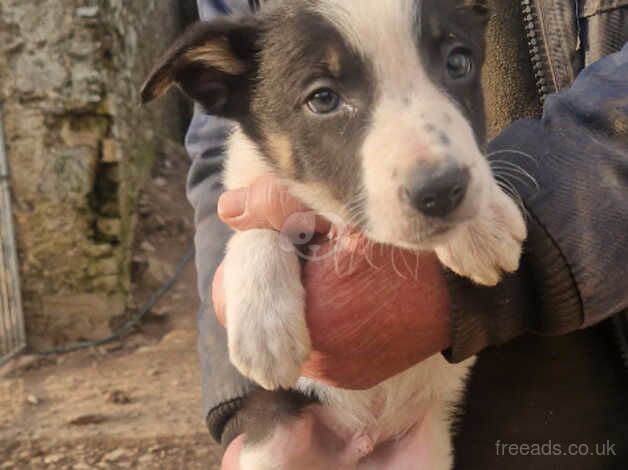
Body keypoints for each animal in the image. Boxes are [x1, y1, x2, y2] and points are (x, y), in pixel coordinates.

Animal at [141, 1, 524, 468]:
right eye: (323, 99)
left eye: (458, 62)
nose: (442, 190)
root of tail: (360, 443)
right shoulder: (246, 183)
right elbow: (258, 224)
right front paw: (263, 323)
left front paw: (482, 223)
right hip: (269, 446)